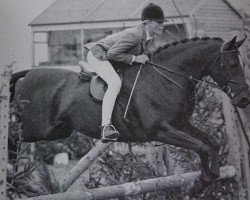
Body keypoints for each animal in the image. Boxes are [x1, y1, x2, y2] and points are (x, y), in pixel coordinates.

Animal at [9, 35, 250, 195]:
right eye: (232, 64)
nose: (243, 99)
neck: (166, 78)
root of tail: (28, 73)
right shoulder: (161, 131)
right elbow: (201, 147)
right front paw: (199, 182)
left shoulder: (181, 125)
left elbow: (213, 142)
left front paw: (206, 179)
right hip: (37, 128)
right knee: (13, 136)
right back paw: (13, 176)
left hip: (58, 130)